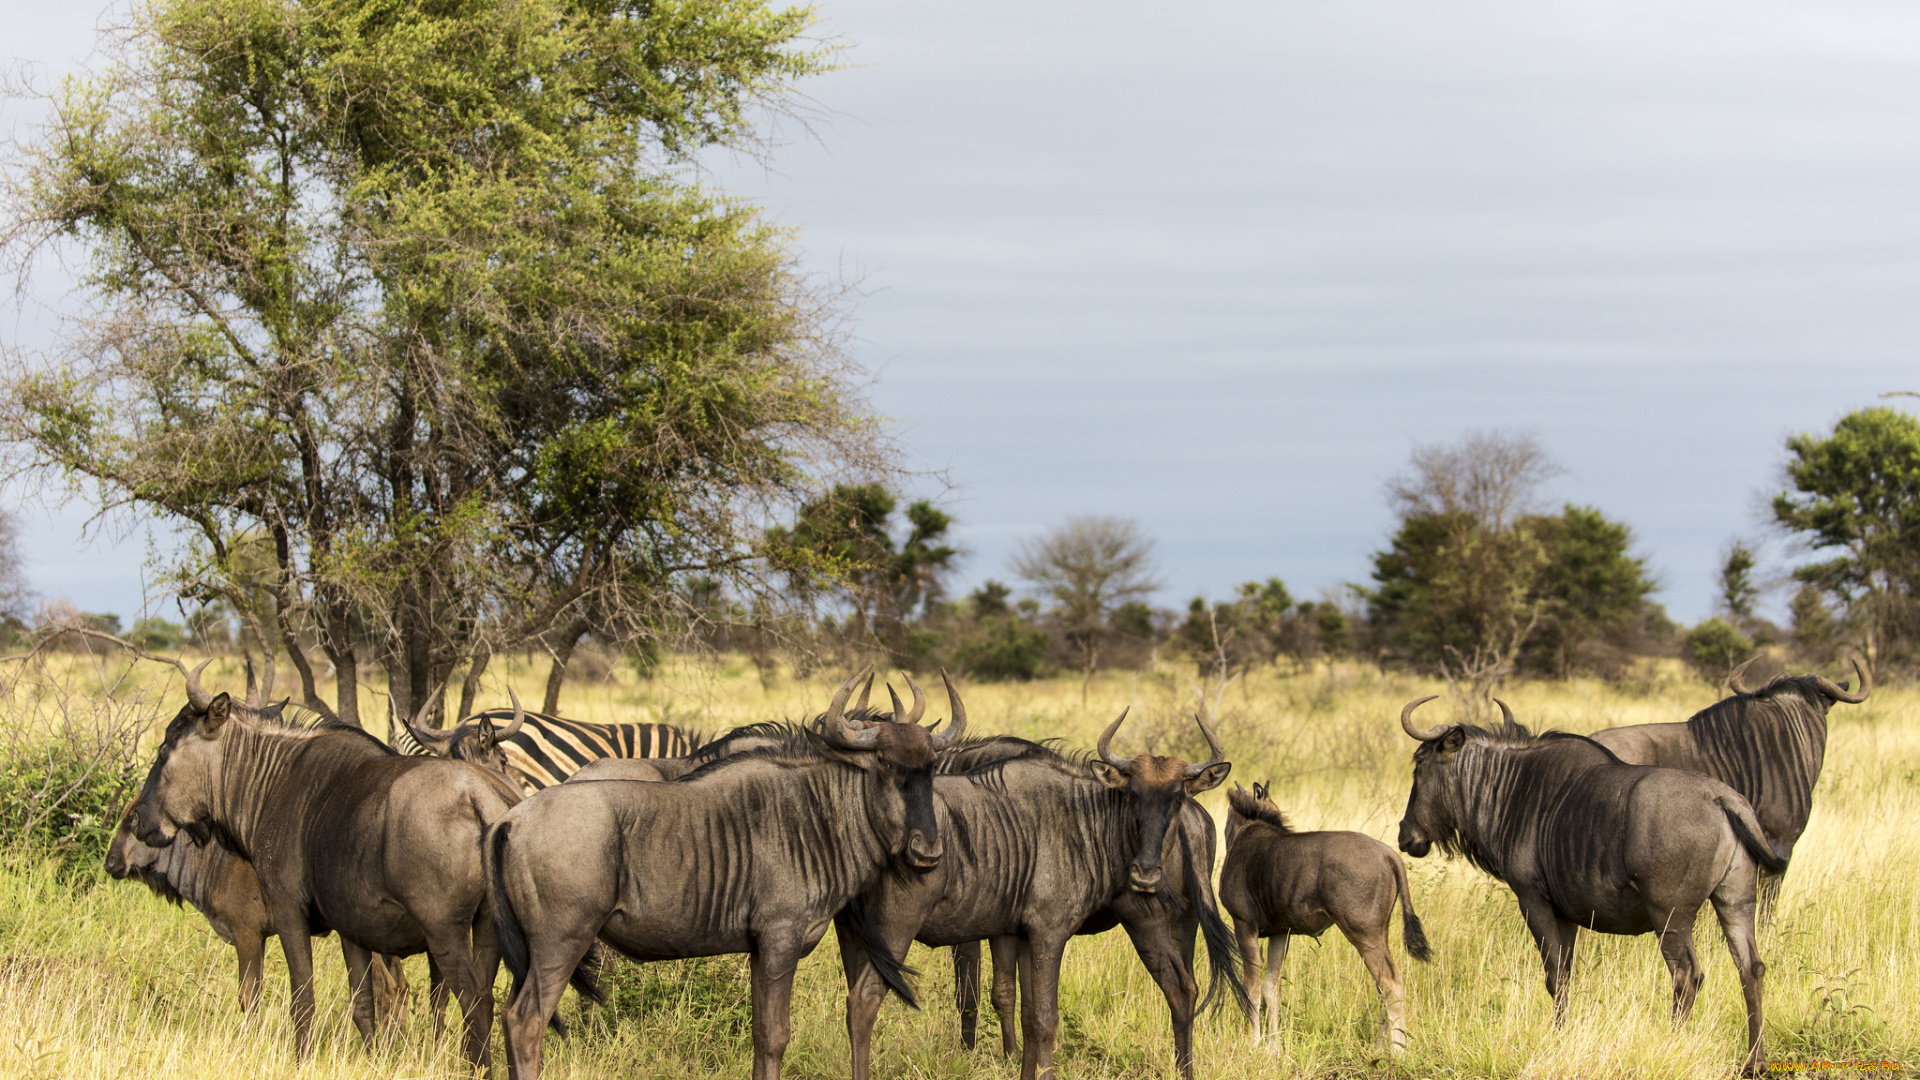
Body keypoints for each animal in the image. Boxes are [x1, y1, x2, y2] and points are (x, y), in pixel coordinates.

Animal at [1213, 776, 1428, 1045]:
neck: (1246, 831)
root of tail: (1388, 853)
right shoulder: (1279, 933)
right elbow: (1272, 987)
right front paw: (1274, 1046)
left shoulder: (1244, 925)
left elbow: (1251, 987)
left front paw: (1255, 1043)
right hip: (1380, 933)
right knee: (1381, 984)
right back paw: (1381, 1047)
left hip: (1364, 934)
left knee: (1391, 982)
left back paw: (1398, 1048)